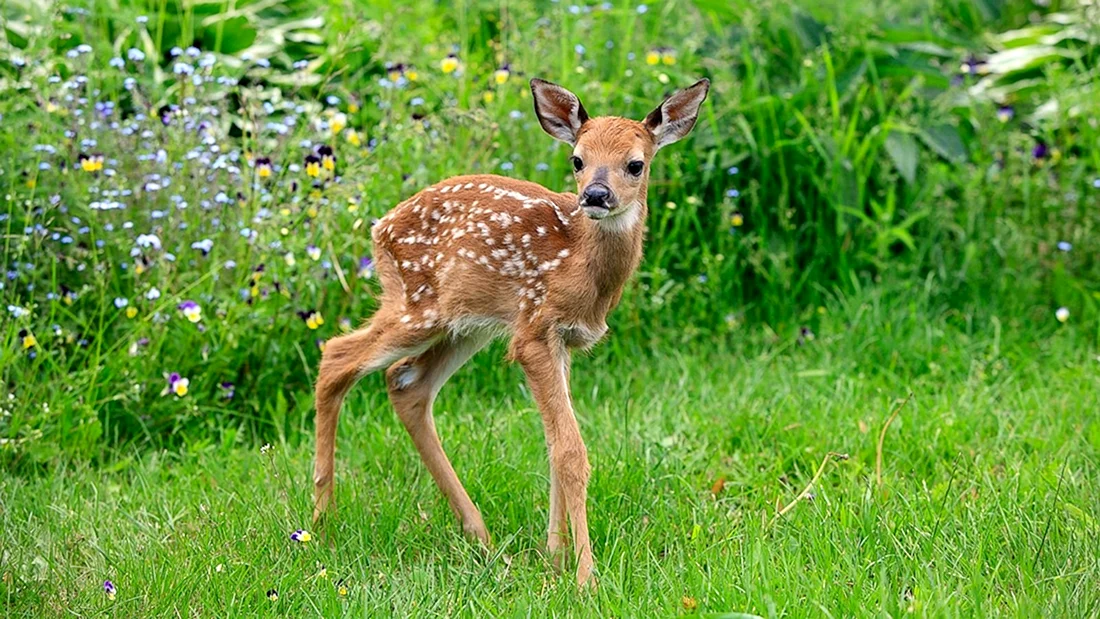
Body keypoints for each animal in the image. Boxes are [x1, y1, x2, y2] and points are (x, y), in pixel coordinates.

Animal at [311, 77, 710, 588]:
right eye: (577, 159)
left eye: (635, 164)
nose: (595, 195)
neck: (579, 266)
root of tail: (379, 228)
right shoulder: (534, 333)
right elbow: (571, 452)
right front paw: (585, 577)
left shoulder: (562, 341)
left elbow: (554, 446)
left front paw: (554, 557)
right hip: (417, 305)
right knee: (337, 355)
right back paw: (321, 521)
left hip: (466, 325)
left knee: (405, 382)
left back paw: (479, 535)